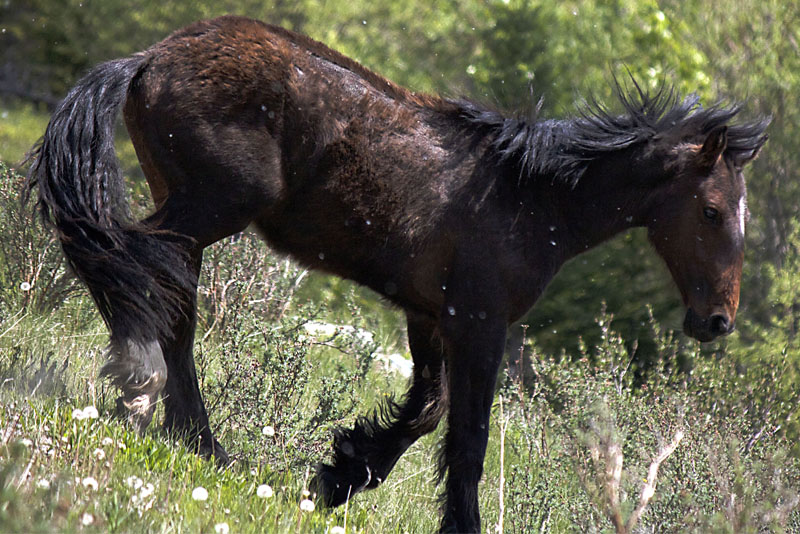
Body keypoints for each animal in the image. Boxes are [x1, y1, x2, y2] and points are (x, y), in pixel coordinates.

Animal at [26, 15, 768, 533]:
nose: (716, 321)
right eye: (710, 211)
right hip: (210, 206)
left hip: (195, 209)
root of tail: (149, 59)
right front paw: (447, 518)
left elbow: (423, 414)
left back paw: (203, 446)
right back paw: (141, 385)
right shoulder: (479, 325)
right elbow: (467, 439)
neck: (529, 197)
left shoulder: (429, 317)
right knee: (127, 257)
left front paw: (337, 474)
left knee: (164, 294)